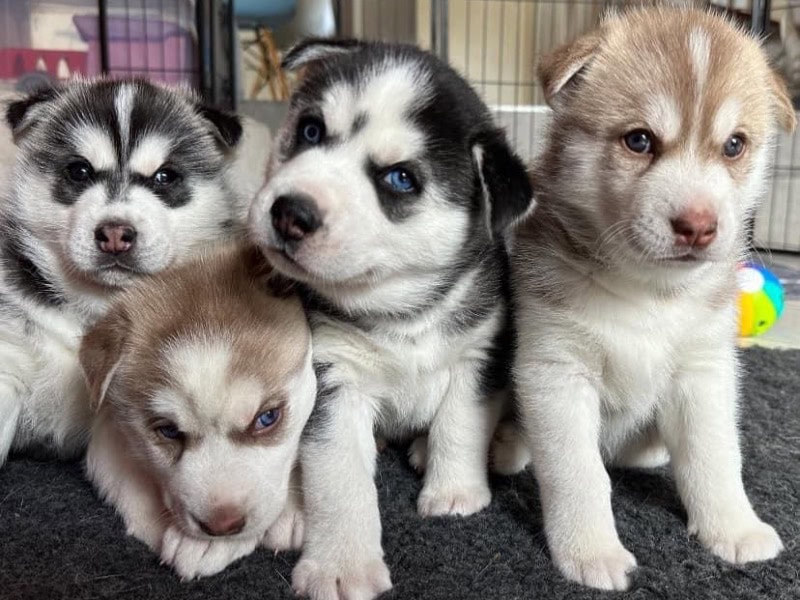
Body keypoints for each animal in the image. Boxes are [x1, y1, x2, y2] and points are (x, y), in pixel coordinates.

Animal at [247, 38, 536, 600]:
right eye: (311, 130)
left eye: (400, 178)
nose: (290, 212)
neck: (403, 312)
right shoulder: (331, 375)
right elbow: (338, 474)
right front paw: (341, 566)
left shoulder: (480, 351)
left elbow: (460, 423)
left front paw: (456, 492)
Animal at [510, 5, 796, 592]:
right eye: (639, 140)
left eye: (734, 145)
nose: (698, 226)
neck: (647, 293)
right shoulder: (555, 370)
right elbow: (578, 473)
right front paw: (590, 550)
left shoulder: (705, 370)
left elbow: (716, 456)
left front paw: (734, 526)